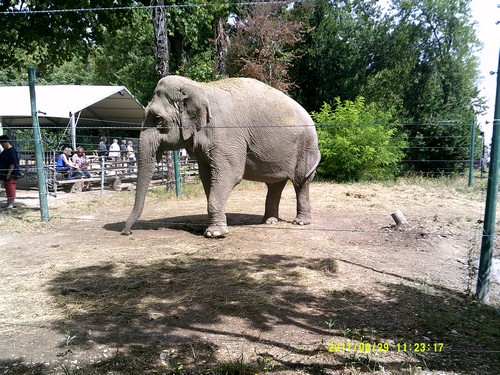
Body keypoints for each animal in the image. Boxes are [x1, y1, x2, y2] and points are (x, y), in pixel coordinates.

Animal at [121, 75, 320, 238]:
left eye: (158, 119)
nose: (126, 232)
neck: (198, 87)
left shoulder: (227, 136)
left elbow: (230, 174)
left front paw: (215, 233)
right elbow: (207, 177)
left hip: (305, 148)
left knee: (301, 182)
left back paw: (300, 222)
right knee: (275, 185)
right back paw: (270, 222)